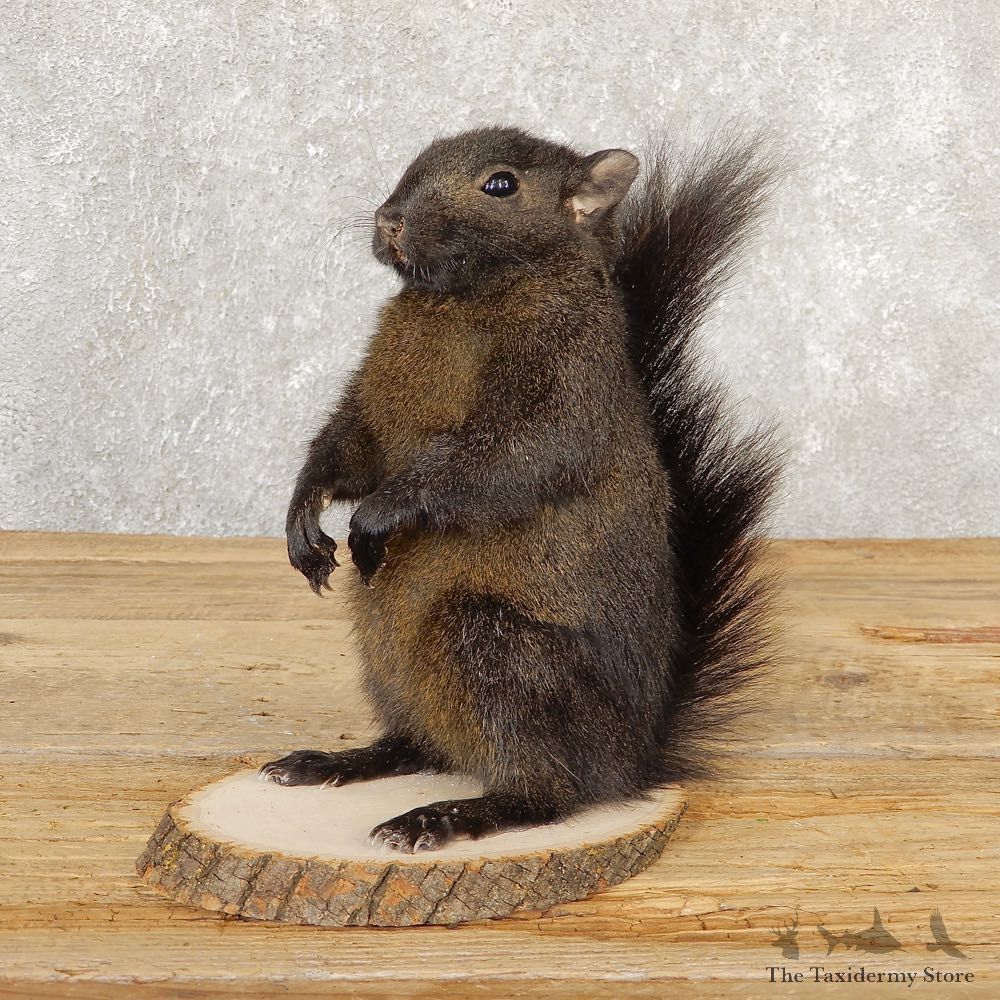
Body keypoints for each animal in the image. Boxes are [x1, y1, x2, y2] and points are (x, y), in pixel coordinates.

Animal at [260, 125, 781, 854]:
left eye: (501, 185)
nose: (389, 220)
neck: (458, 300)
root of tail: (631, 760)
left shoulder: (563, 386)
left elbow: (498, 463)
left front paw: (378, 516)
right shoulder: (368, 407)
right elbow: (346, 447)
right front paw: (302, 518)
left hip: (499, 653)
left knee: (547, 793)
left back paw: (446, 816)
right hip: (388, 663)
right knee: (419, 748)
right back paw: (340, 762)